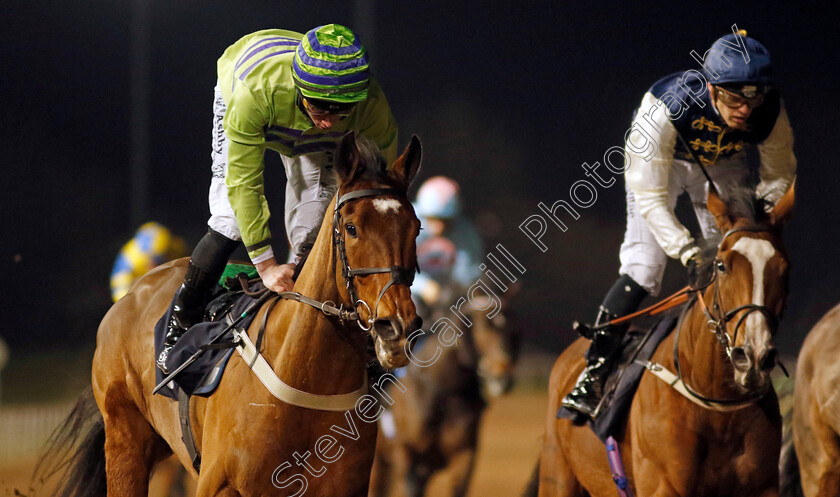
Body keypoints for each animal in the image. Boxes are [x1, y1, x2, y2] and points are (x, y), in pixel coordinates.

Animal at [46, 132, 424, 496]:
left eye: (416, 228)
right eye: (351, 228)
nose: (397, 327)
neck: (306, 378)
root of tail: (132, 292)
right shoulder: (219, 484)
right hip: (125, 440)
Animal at [370, 294, 520, 496]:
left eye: (513, 329)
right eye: (483, 327)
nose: (503, 378)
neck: (443, 392)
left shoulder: (464, 456)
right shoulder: (407, 455)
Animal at [540, 183, 796, 496]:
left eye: (785, 268)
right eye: (721, 265)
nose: (754, 355)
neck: (717, 402)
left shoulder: (764, 485)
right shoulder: (663, 484)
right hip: (556, 475)